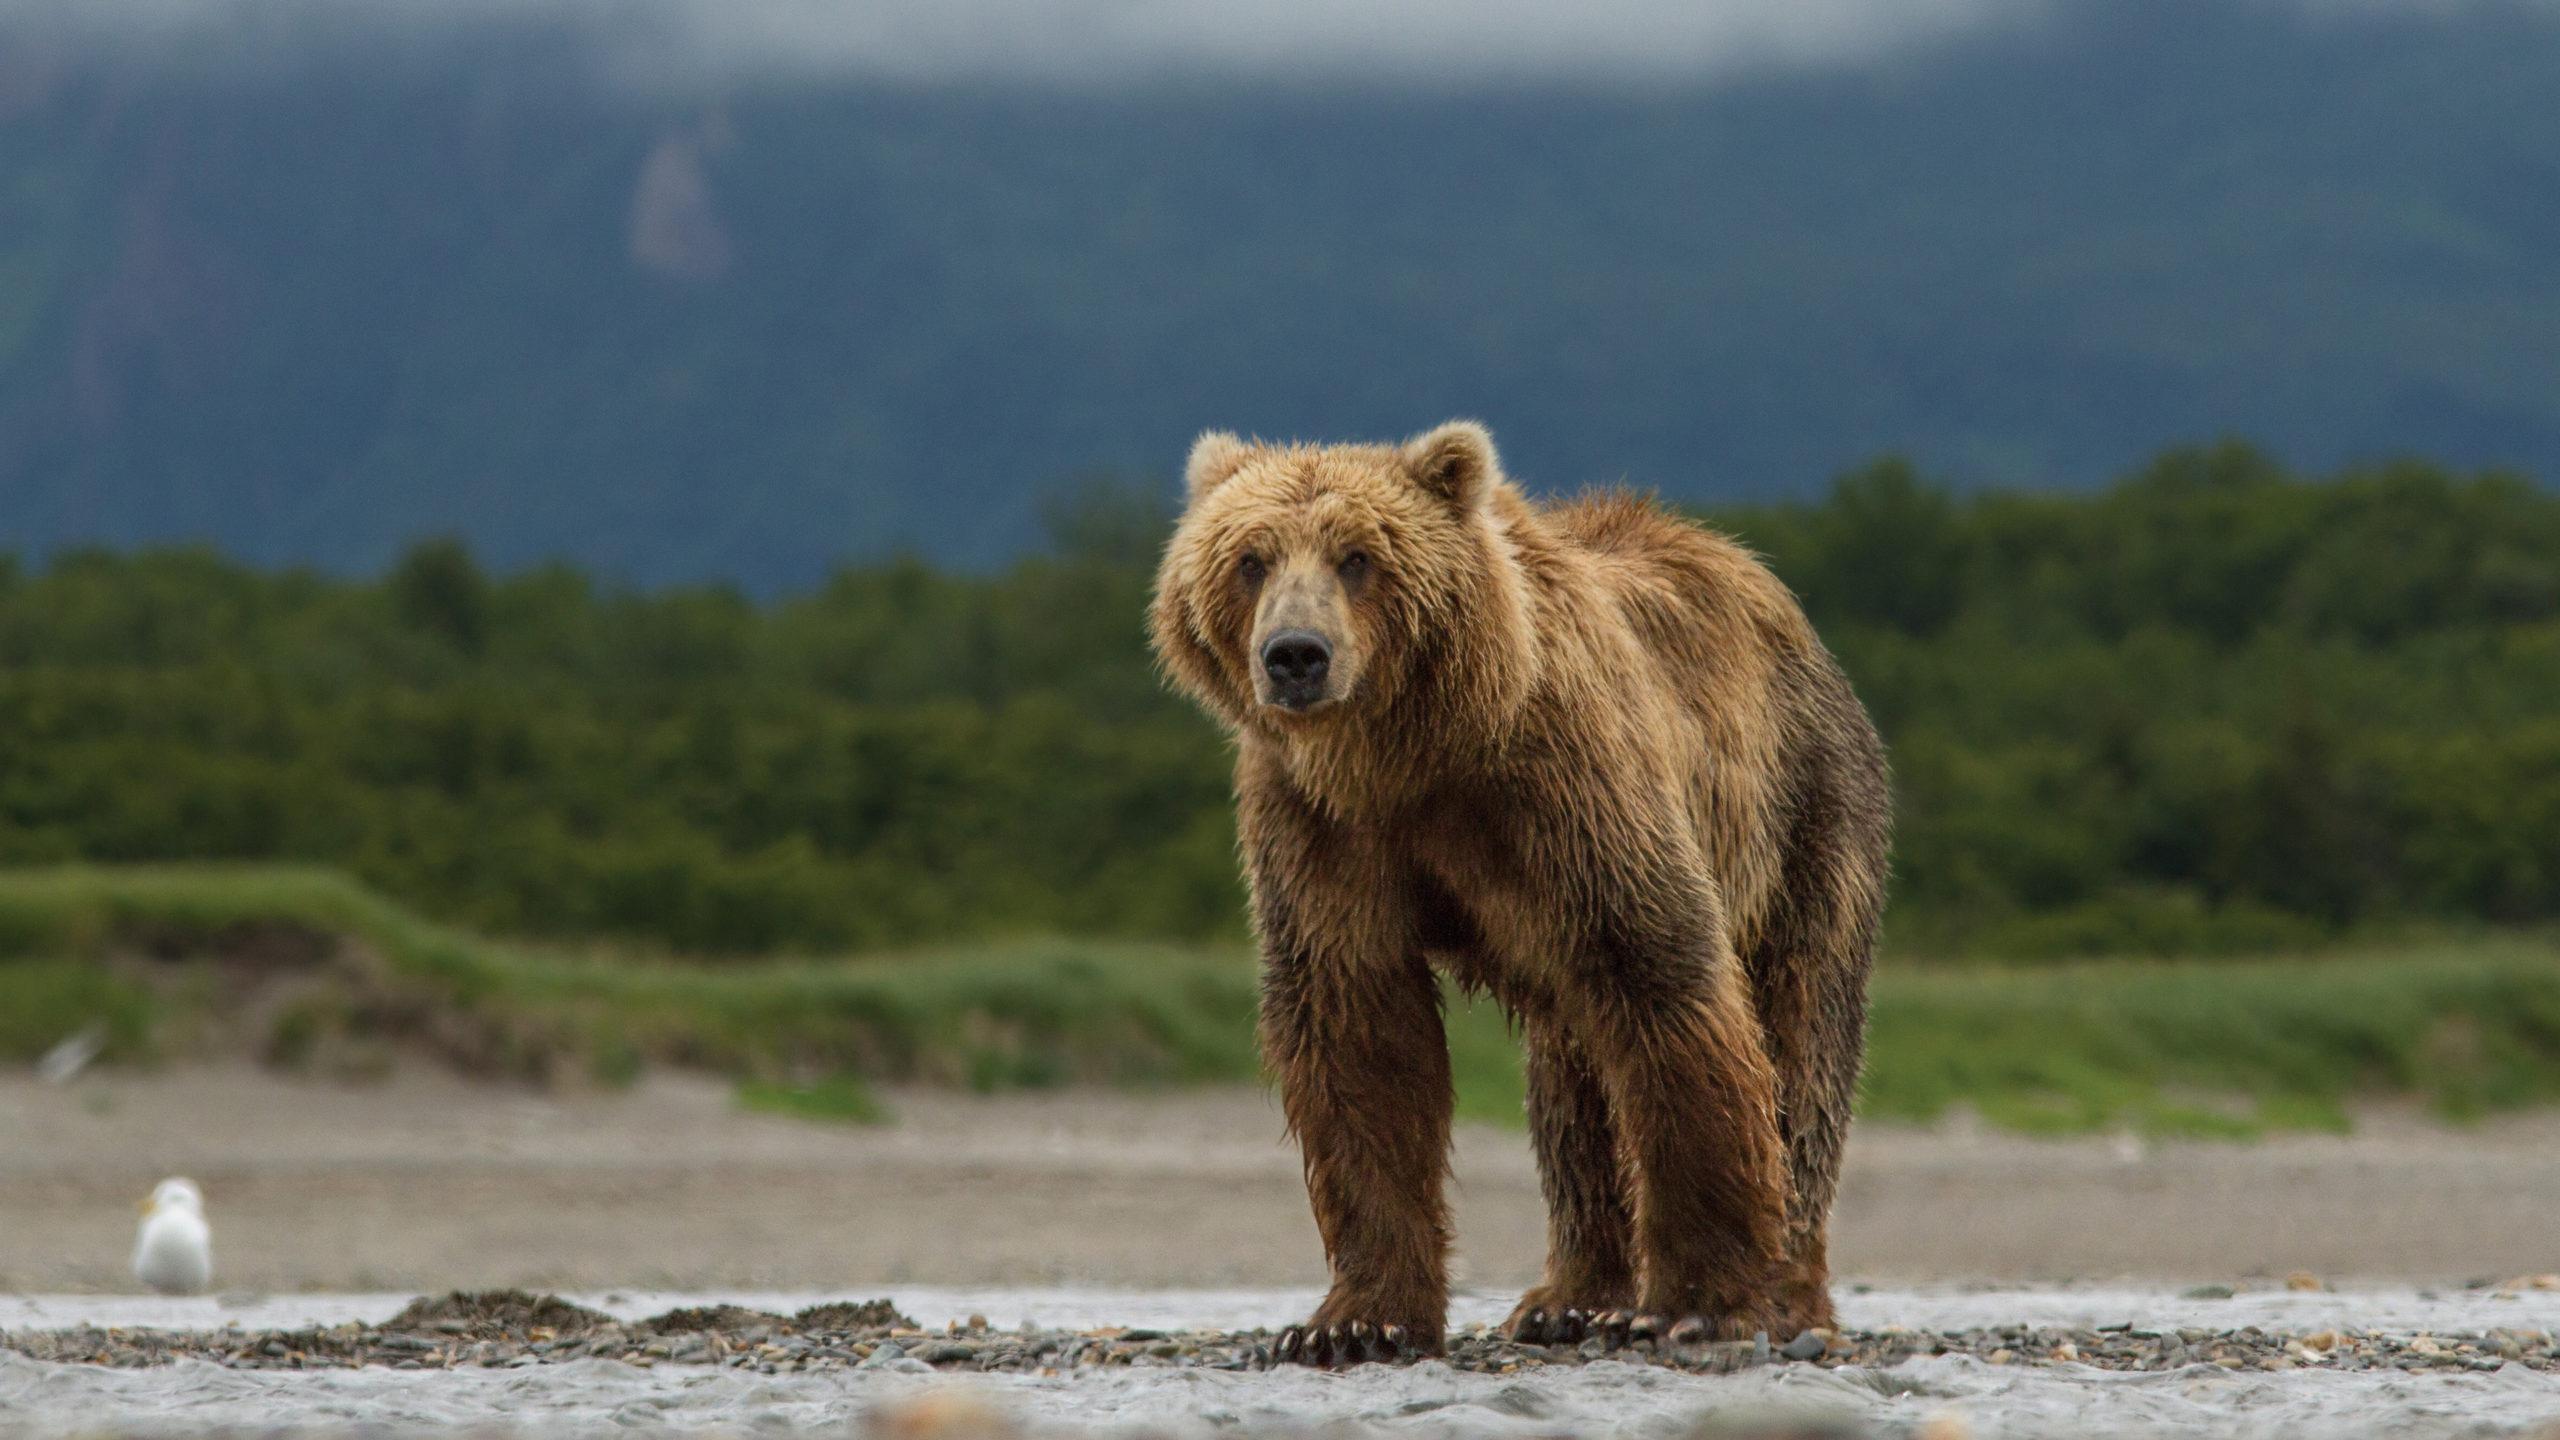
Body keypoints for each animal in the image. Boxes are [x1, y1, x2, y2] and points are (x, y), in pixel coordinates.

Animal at [1149, 421, 1891, 1365]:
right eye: (1250, 558)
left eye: (1358, 557)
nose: (1295, 656)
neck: (1411, 757)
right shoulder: (1320, 830)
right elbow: (1357, 1031)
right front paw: (1354, 1320)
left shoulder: (1564, 787)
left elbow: (1665, 981)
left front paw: (1699, 1303)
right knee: (1573, 1094)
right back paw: (1569, 1298)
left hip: (1805, 814)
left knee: (1802, 1040)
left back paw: (1787, 1296)